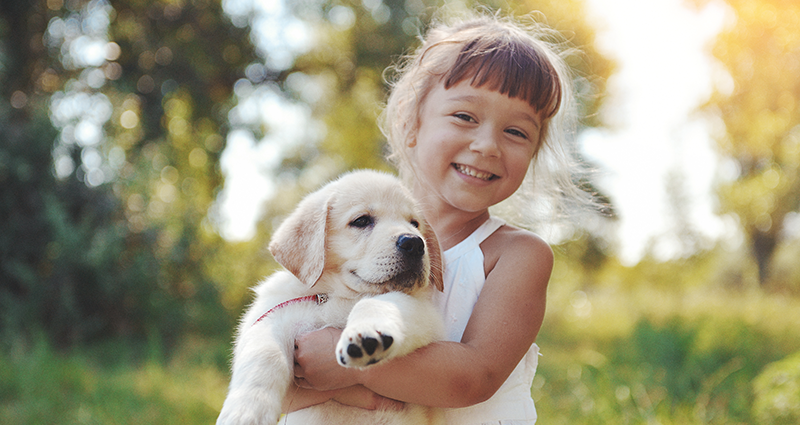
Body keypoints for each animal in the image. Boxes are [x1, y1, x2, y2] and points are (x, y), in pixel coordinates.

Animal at [216, 170, 446, 424]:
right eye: (361, 221)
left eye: (415, 224)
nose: (414, 243)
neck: (339, 296)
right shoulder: (273, 315)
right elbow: (265, 353)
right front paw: (246, 411)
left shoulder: (425, 314)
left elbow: (377, 302)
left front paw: (367, 334)